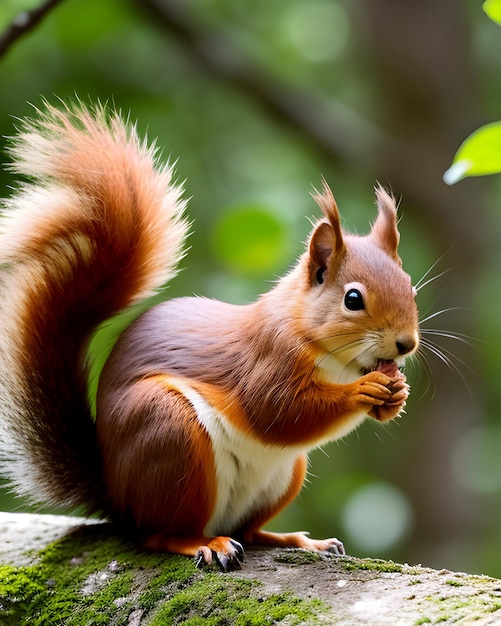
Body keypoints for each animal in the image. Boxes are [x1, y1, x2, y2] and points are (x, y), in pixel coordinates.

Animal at [0, 103, 418, 572]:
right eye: (352, 299)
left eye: (411, 288)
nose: (406, 344)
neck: (335, 358)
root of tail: (119, 499)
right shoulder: (267, 361)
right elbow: (279, 412)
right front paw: (363, 391)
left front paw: (396, 395)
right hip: (170, 434)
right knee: (159, 535)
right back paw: (205, 543)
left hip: (283, 475)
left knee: (249, 531)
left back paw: (297, 540)